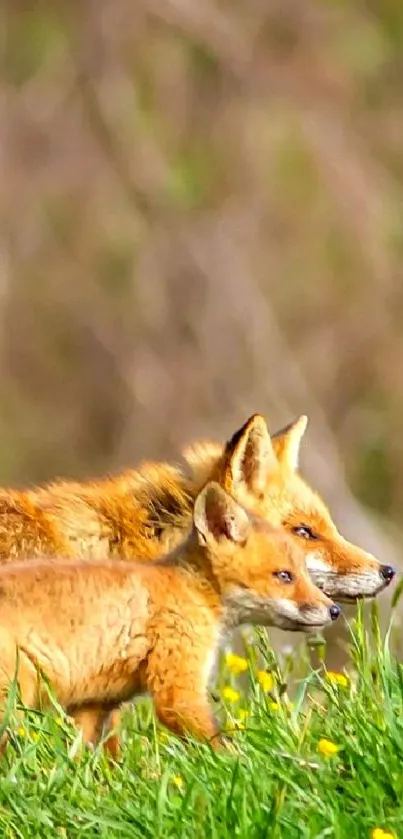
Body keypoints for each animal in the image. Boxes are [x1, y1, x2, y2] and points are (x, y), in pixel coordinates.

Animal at [0, 482, 340, 756]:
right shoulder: (177, 690)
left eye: (304, 574)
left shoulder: (94, 703)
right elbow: (225, 749)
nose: (334, 610)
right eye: (284, 576)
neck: (189, 590)